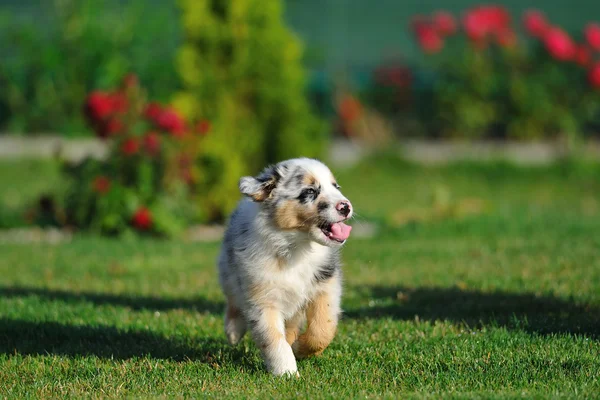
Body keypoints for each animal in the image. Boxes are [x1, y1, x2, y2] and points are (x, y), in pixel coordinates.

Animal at [218, 156, 354, 376]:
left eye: (336, 187)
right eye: (310, 191)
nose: (346, 206)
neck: (296, 245)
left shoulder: (326, 286)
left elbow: (323, 328)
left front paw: (299, 348)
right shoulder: (262, 299)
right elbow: (273, 339)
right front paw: (287, 373)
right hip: (227, 272)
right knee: (233, 302)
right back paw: (233, 331)